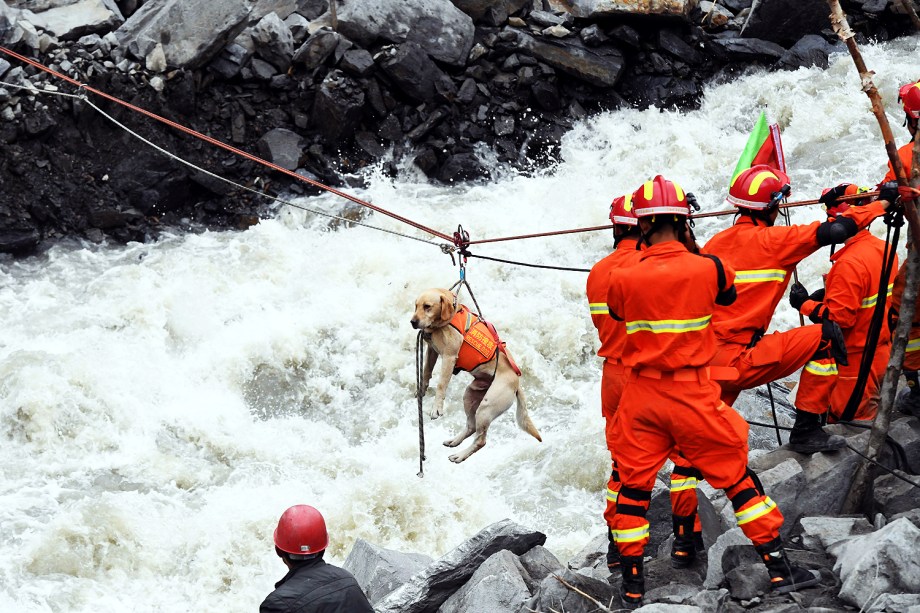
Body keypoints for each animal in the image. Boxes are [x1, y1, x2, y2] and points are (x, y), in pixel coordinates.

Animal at [408, 290, 540, 462]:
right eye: (416, 306)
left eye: (427, 306)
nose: (413, 322)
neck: (448, 318)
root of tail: (517, 384)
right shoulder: (432, 350)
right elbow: (426, 372)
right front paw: (421, 391)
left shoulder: (449, 357)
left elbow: (441, 384)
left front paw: (436, 408)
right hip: (470, 396)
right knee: (471, 427)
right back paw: (454, 441)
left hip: (486, 408)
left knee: (481, 440)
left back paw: (460, 455)